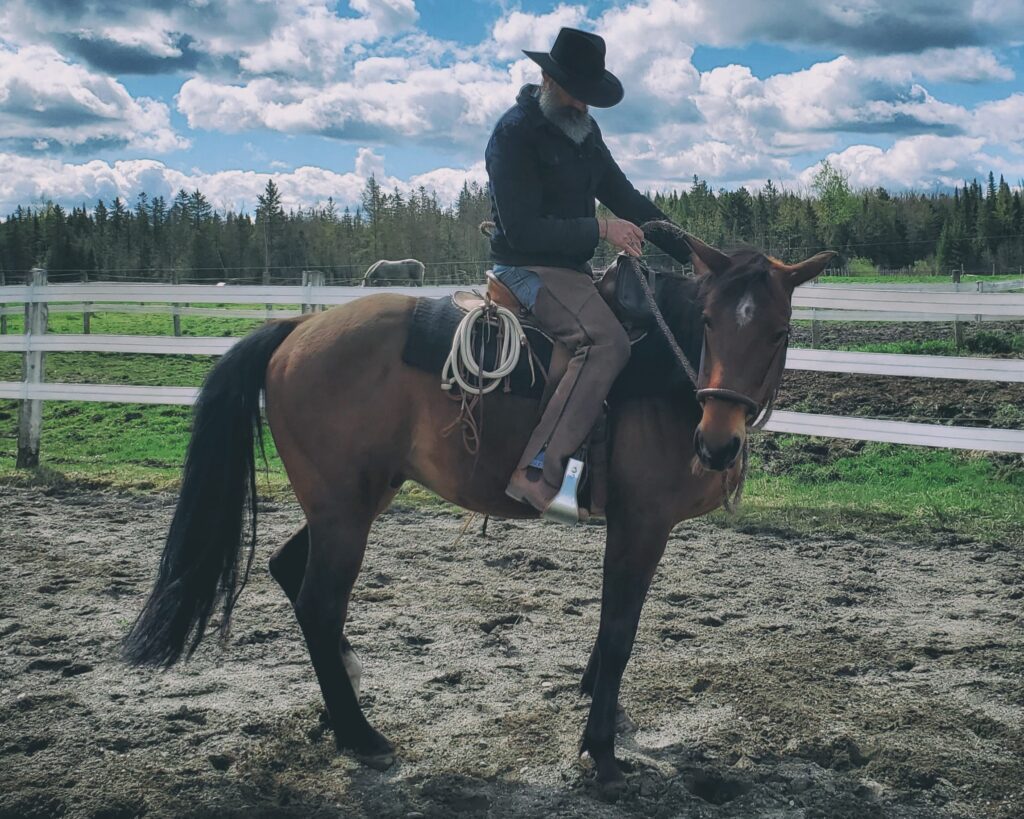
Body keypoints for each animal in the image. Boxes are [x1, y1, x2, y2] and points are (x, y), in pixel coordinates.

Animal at [123, 235, 835, 786]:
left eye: (780, 332)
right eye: (710, 321)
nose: (717, 444)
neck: (666, 374)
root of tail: (297, 330)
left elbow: (612, 626)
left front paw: (602, 714)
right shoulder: (641, 525)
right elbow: (620, 629)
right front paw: (601, 753)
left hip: (352, 501)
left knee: (285, 569)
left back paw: (342, 695)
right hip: (345, 511)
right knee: (318, 602)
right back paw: (362, 735)